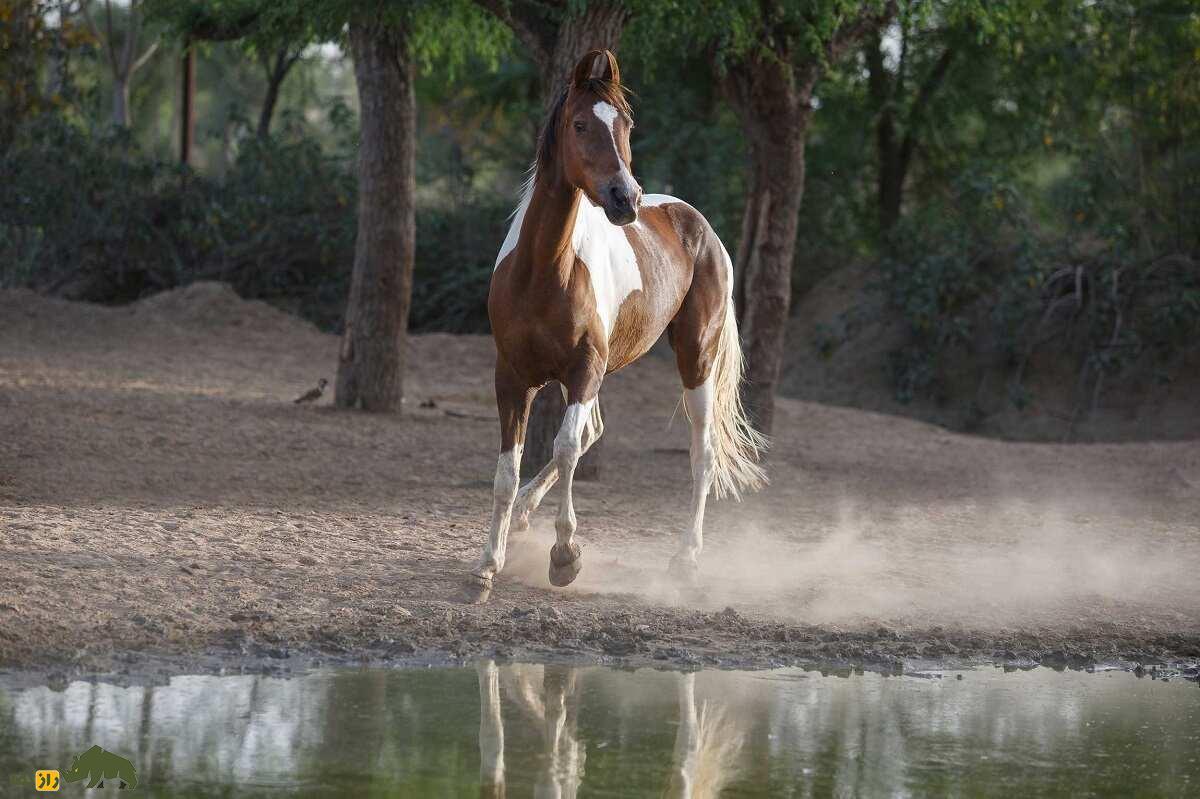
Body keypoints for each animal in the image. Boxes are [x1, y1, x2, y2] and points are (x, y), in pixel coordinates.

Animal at [472, 48, 763, 585]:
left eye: (626, 124)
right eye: (580, 124)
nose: (625, 198)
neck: (543, 270)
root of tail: (701, 227)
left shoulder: (584, 369)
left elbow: (565, 448)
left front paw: (565, 555)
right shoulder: (513, 376)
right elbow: (508, 469)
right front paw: (486, 564)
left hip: (694, 359)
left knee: (702, 452)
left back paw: (686, 557)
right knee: (591, 434)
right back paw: (522, 518)